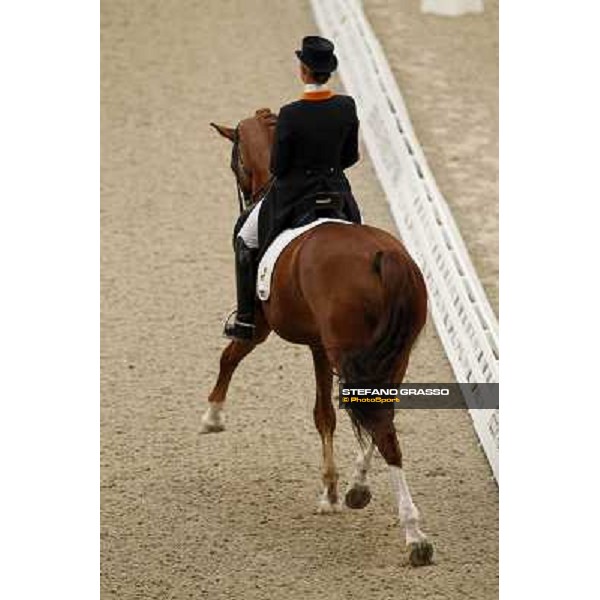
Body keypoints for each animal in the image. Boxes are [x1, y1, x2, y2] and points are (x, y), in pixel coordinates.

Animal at [204, 109, 434, 568]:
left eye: (235, 160)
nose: (245, 199)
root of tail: (386, 256)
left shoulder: (261, 328)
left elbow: (231, 356)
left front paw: (213, 416)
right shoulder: (317, 345)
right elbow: (326, 414)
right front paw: (333, 489)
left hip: (348, 351)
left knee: (382, 426)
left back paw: (414, 535)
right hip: (390, 354)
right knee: (382, 413)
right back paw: (361, 490)